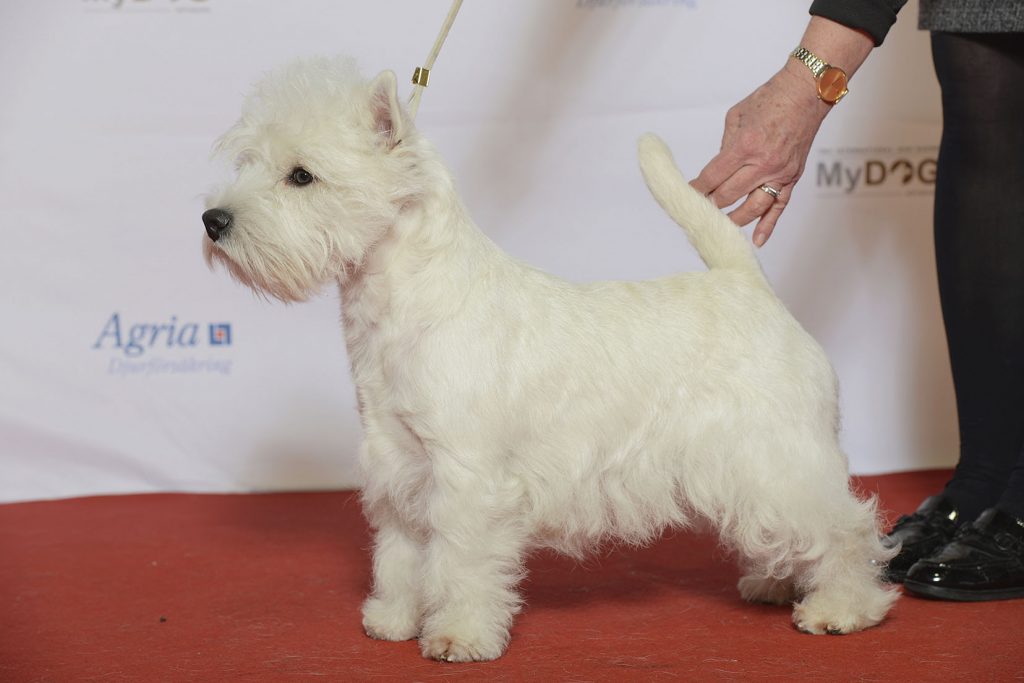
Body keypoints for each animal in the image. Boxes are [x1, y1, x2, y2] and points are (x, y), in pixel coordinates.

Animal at [203, 58, 901, 663]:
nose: (213, 220)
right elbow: (401, 554)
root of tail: (746, 283)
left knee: (842, 528)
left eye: (302, 175)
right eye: (248, 161)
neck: (403, 303)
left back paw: (841, 607)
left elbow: (460, 562)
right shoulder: (399, 463)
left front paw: (458, 635)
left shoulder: (467, 477)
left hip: (777, 454)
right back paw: (774, 582)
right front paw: (395, 618)